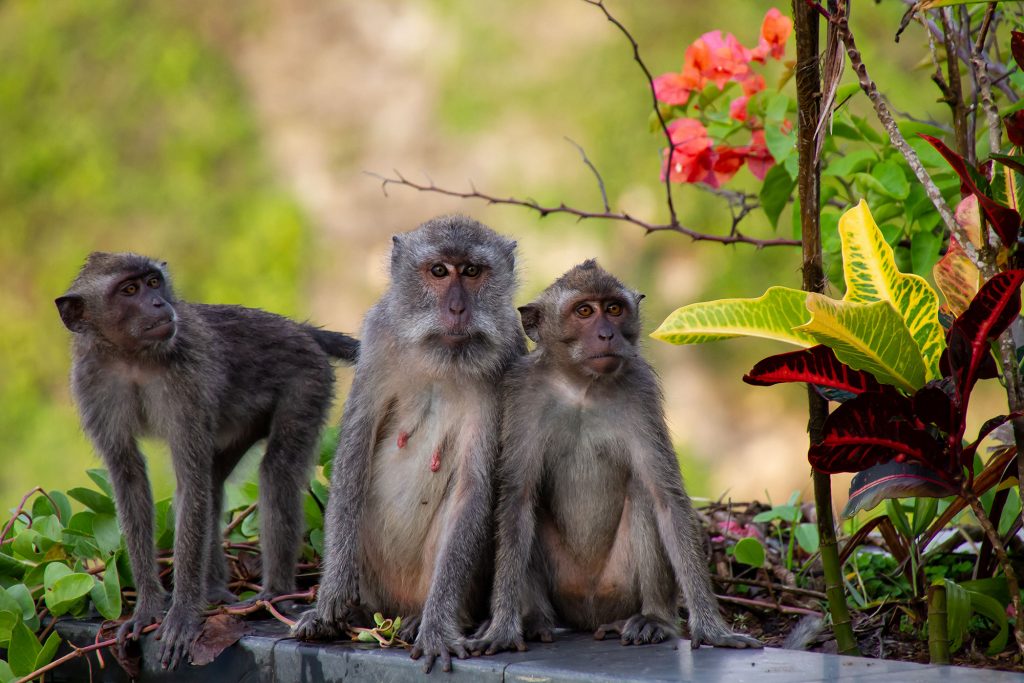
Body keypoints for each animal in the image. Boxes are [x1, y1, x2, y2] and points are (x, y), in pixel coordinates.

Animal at [57, 253, 360, 671]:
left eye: (153, 282)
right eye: (129, 290)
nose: (159, 304)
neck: (132, 357)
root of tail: (298, 329)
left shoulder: (187, 380)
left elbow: (190, 483)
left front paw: (182, 615)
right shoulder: (91, 383)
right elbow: (130, 480)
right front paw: (147, 609)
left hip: (307, 380)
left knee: (275, 472)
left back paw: (274, 594)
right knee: (215, 483)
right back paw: (216, 589)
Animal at [290, 218, 524, 671]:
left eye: (472, 272)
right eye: (439, 271)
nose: (457, 309)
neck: (440, 357)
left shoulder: (508, 362)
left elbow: (474, 488)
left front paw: (437, 627)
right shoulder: (379, 341)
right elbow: (353, 456)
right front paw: (330, 602)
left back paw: (423, 618)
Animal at [468, 259, 765, 655]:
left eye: (613, 308)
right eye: (583, 311)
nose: (607, 334)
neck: (582, 386)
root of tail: (589, 616)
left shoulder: (640, 390)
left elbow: (666, 498)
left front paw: (713, 629)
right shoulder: (522, 393)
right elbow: (518, 499)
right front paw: (503, 627)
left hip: (619, 587)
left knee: (643, 495)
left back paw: (653, 619)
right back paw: (534, 620)